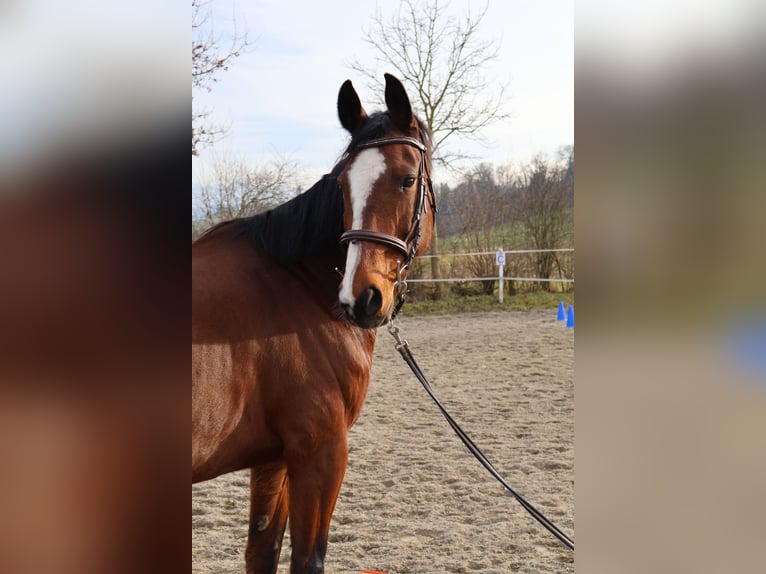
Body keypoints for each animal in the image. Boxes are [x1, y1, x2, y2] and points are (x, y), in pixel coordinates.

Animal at [192, 74, 438, 572]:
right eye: (342, 186)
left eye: (407, 180)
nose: (361, 299)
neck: (294, 283)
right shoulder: (321, 453)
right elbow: (308, 560)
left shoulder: (274, 459)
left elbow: (262, 552)